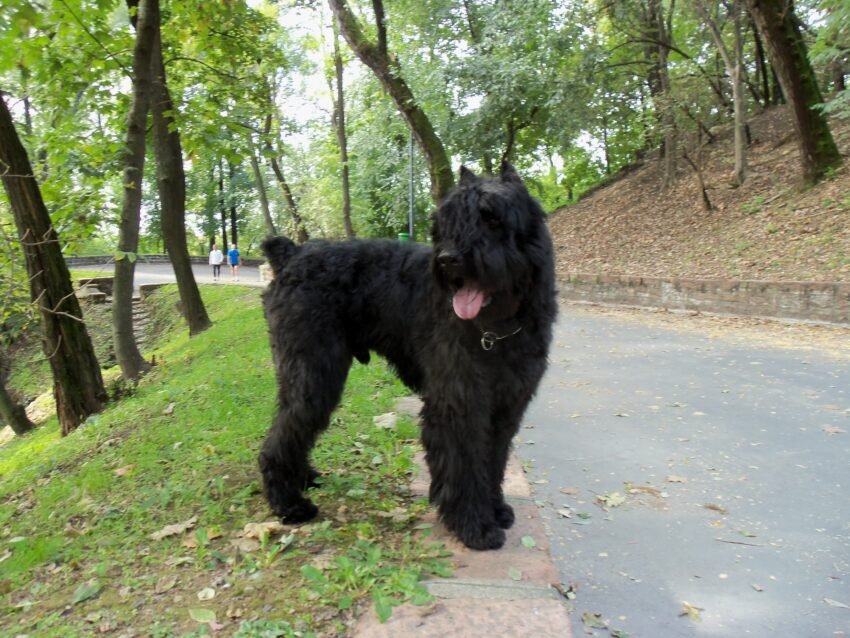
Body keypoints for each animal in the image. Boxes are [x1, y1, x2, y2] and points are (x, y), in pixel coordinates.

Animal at [262, 162, 560, 552]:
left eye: (492, 217)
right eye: (445, 221)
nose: (449, 259)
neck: (499, 327)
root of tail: (290, 256)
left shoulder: (507, 405)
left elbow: (492, 460)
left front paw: (495, 510)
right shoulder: (458, 403)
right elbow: (465, 464)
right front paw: (474, 525)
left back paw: (303, 478)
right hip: (313, 376)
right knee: (282, 435)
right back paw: (289, 503)